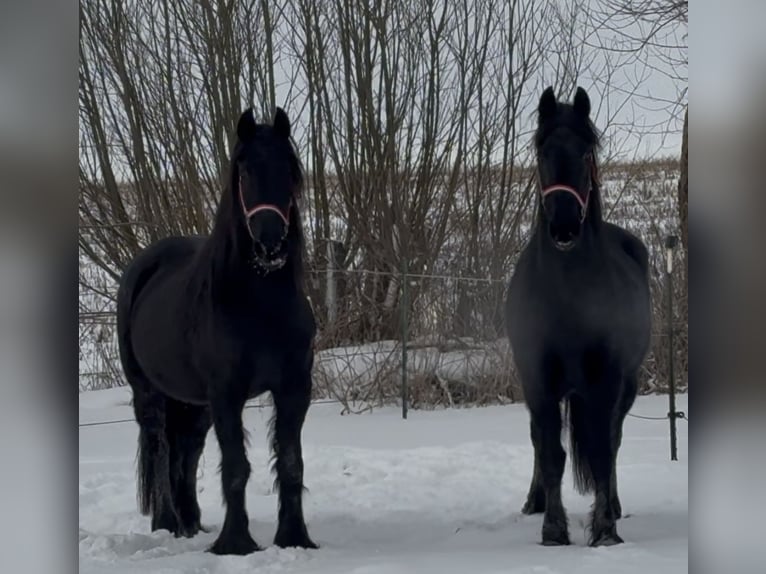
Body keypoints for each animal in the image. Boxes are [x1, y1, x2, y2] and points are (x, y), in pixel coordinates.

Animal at [116, 107, 318, 555]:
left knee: (187, 449)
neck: (259, 305)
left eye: (290, 169)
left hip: (195, 403)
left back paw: (191, 521)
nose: (270, 243)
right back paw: (167, 522)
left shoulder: (294, 388)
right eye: (243, 171)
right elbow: (236, 467)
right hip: (149, 392)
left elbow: (292, 462)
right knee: (159, 446)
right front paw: (237, 543)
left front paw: (294, 538)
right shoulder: (227, 393)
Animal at [505, 87, 651, 546]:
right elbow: (551, 451)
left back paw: (615, 507)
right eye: (542, 151)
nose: (565, 227)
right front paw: (553, 528)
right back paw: (534, 502)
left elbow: (602, 450)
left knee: (613, 440)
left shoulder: (607, 380)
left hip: (626, 386)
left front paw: (605, 529)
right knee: (540, 440)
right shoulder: (537, 379)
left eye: (586, 152)